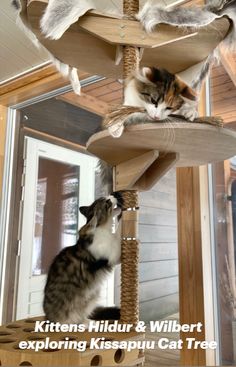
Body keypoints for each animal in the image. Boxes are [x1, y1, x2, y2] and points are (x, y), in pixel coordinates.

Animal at [43, 196, 122, 324]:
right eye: (107, 202)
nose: (113, 196)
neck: (104, 229)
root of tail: (47, 318)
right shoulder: (111, 256)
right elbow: (119, 231)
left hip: (92, 297)